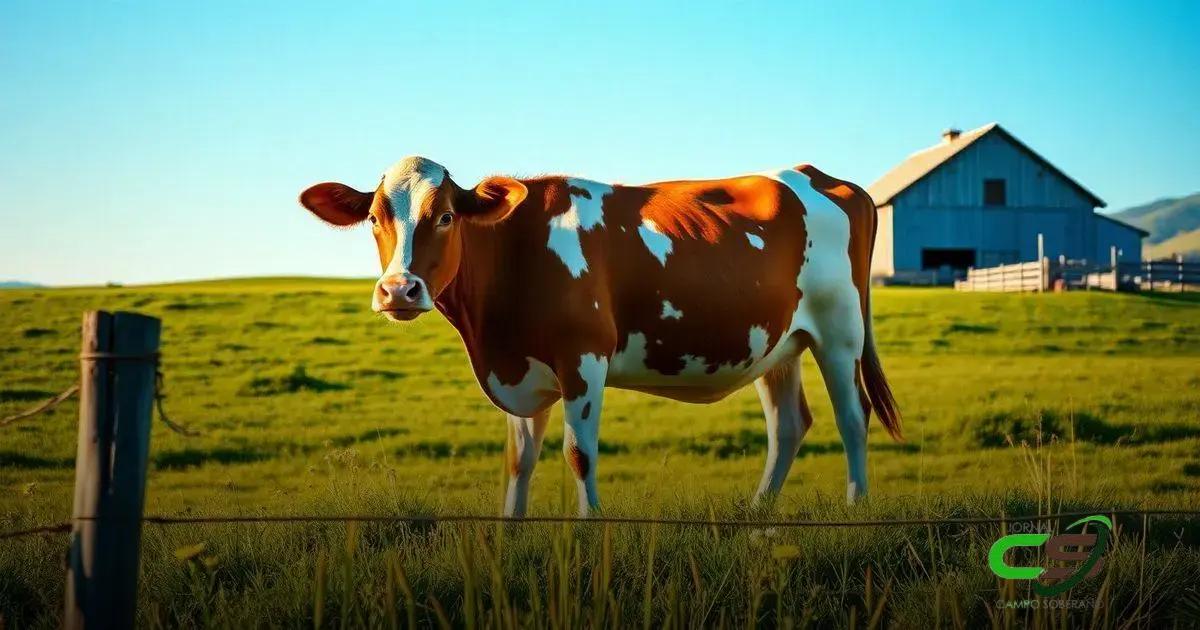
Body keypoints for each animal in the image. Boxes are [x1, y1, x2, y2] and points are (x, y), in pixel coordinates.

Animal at [300, 156, 901, 517]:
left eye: (446, 215)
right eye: (374, 218)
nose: (398, 290)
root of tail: (818, 175)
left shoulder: (583, 357)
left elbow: (578, 453)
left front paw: (590, 528)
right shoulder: (521, 369)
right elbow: (519, 460)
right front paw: (509, 535)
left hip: (840, 330)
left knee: (853, 417)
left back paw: (855, 509)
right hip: (777, 343)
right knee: (789, 425)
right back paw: (755, 516)